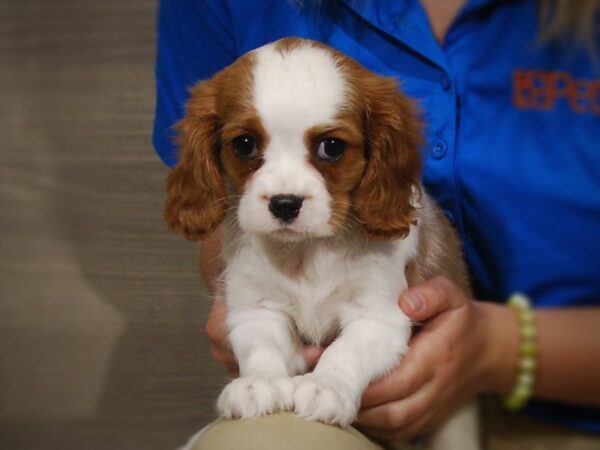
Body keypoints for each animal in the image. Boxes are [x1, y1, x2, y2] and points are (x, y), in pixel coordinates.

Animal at [166, 37, 480, 446]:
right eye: (245, 144)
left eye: (331, 147)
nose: (285, 203)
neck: (306, 249)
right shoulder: (255, 307)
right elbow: (261, 345)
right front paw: (258, 383)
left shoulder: (379, 317)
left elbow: (346, 352)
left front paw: (325, 387)